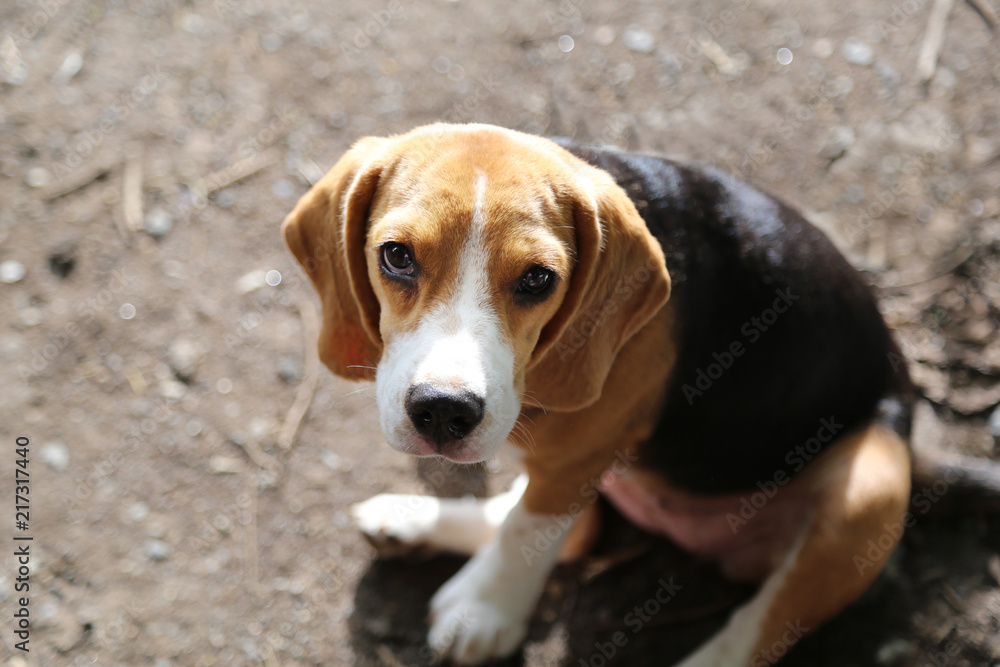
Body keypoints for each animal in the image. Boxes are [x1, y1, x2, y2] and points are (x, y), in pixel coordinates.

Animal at [282, 122, 916, 664]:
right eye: (397, 256)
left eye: (538, 279)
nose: (442, 411)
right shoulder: (572, 467)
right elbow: (527, 525)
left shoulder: (579, 460)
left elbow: (527, 533)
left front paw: (486, 612)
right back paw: (412, 521)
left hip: (874, 485)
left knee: (754, 629)